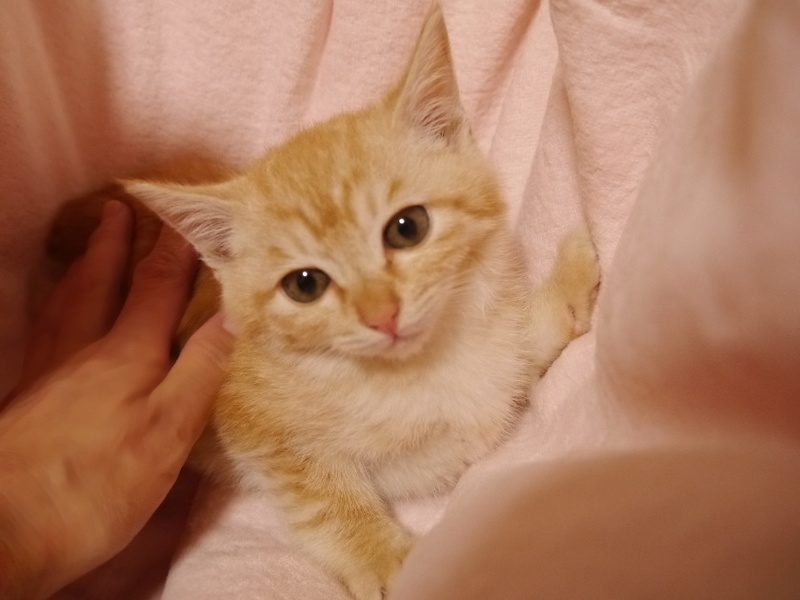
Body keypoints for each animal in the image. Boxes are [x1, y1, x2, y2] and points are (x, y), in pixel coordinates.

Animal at [48, 5, 600, 599]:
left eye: (408, 228)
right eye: (305, 285)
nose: (382, 315)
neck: (421, 370)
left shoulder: (495, 359)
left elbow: (523, 349)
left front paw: (572, 272)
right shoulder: (250, 427)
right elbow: (322, 492)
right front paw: (385, 558)